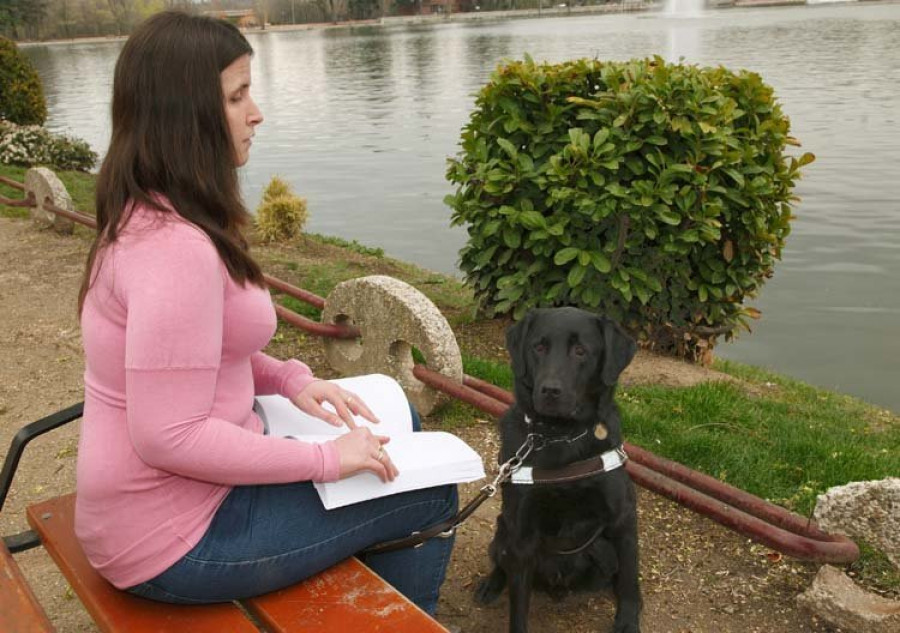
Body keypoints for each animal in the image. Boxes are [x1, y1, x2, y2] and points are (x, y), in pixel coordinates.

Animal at [474, 306, 644, 632]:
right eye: (538, 347)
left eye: (580, 351)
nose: (550, 391)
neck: (560, 436)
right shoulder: (522, 535)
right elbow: (518, 609)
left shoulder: (623, 517)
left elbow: (630, 579)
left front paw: (628, 620)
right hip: (502, 530)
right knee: (499, 561)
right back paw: (490, 585)